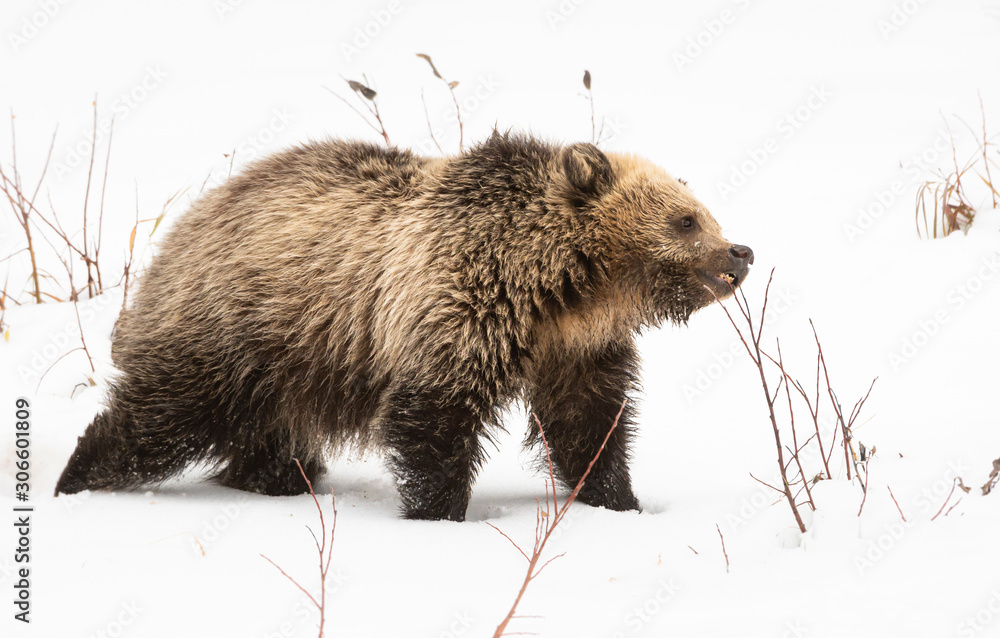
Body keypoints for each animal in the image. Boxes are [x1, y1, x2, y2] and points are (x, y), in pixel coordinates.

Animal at [54, 133, 753, 521]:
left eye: (705, 213)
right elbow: (433, 419)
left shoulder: (575, 349)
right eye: (687, 220)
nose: (740, 253)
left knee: (262, 436)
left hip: (284, 366)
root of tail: (184, 225)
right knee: (157, 420)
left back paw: (279, 479)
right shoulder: (458, 307)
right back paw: (78, 479)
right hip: (236, 328)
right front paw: (439, 513)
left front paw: (617, 498)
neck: (561, 287)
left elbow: (590, 424)